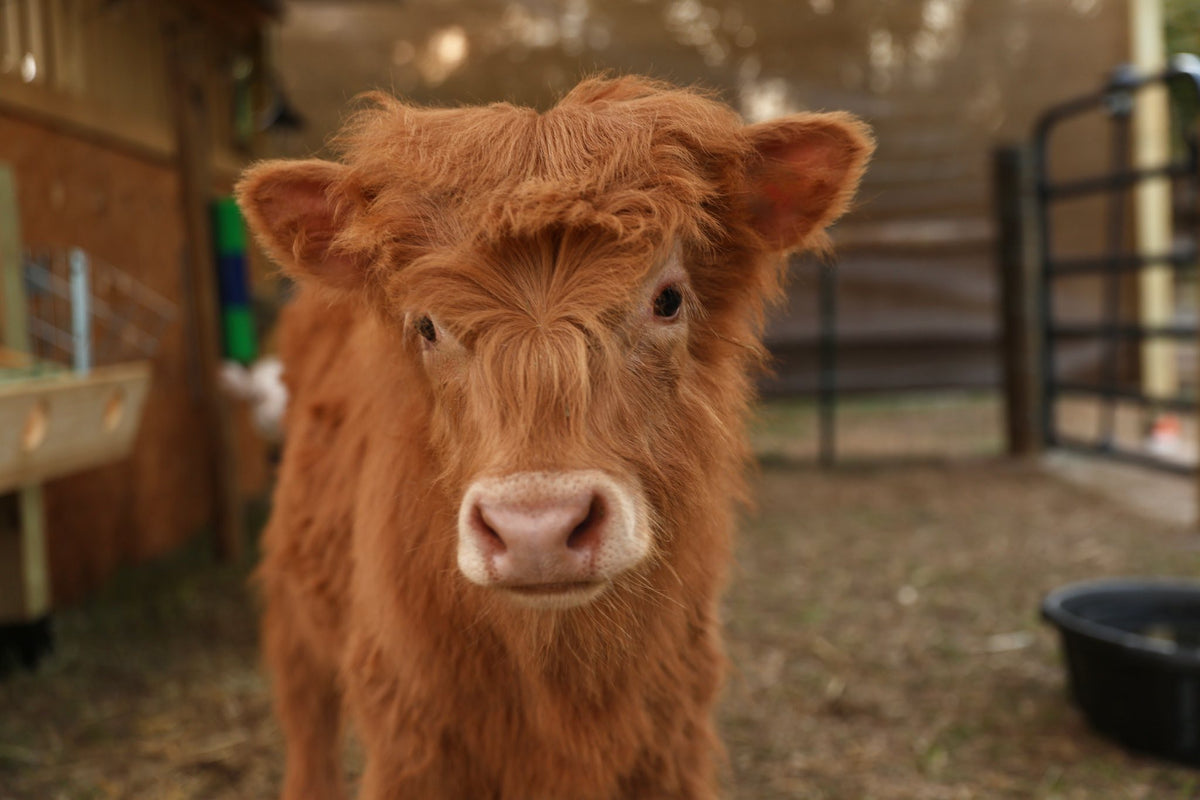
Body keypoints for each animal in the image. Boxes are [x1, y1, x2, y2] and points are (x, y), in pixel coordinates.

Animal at [236, 75, 871, 800]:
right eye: (425, 324)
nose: (535, 529)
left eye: (668, 299)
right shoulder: (414, 743)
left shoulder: (671, 737)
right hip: (294, 613)